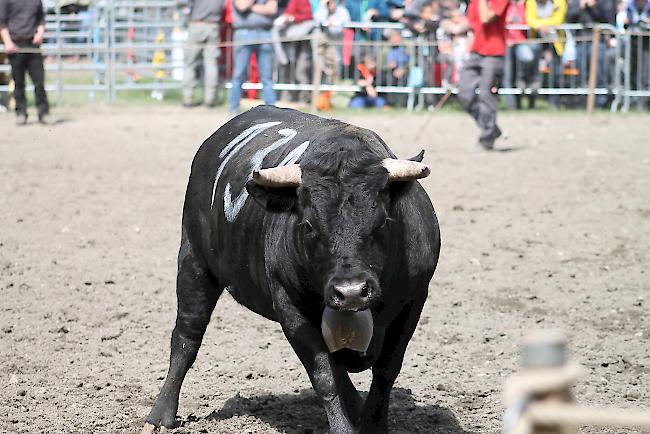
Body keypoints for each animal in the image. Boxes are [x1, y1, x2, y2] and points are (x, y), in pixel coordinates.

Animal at [142, 106, 440, 434]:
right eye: (308, 225)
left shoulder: (414, 300)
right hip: (194, 261)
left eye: (384, 221)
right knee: (186, 337)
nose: (351, 293)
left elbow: (386, 371)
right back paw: (161, 415)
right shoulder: (290, 307)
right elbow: (325, 375)